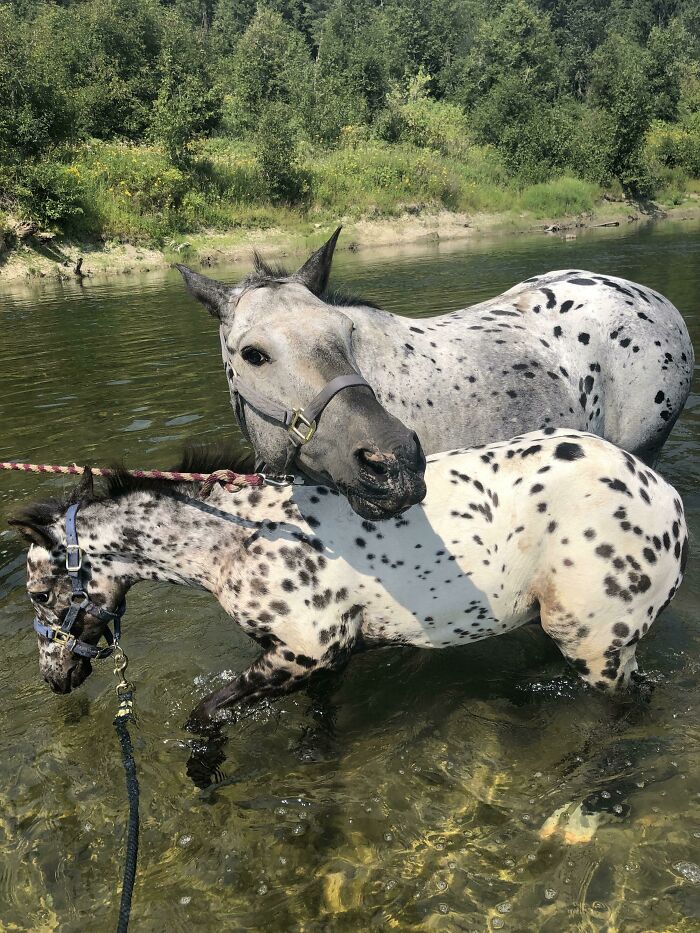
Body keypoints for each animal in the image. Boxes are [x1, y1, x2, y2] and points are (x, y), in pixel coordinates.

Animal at [11, 429, 687, 733]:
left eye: (40, 595)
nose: (55, 680)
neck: (240, 536)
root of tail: (667, 499)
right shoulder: (317, 665)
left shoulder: (306, 654)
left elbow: (203, 716)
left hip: (596, 648)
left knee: (632, 707)